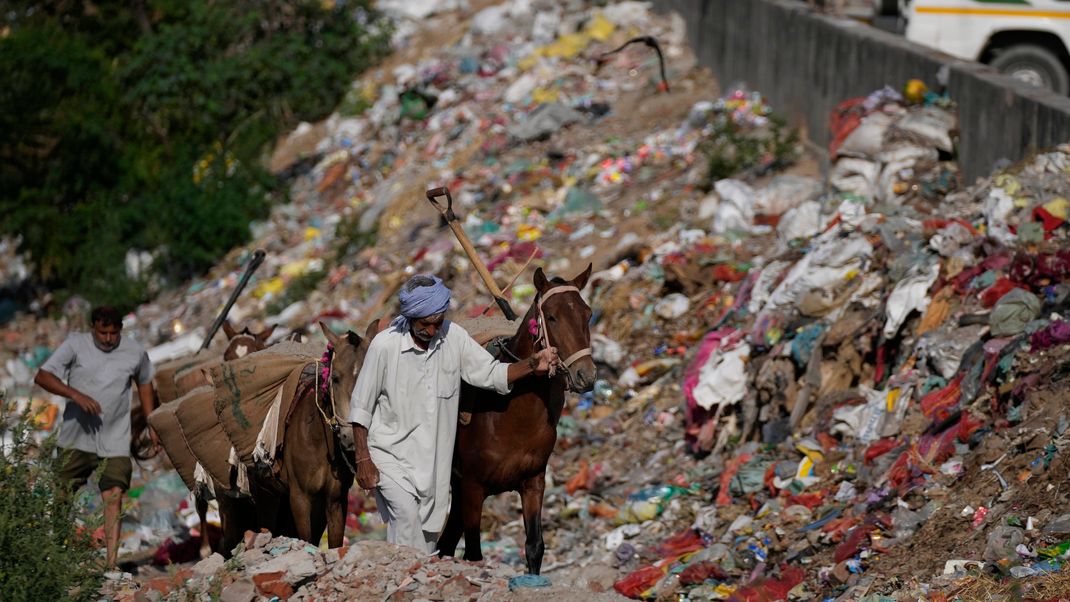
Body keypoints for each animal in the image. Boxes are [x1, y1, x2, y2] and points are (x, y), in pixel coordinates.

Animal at [436, 267, 603, 573]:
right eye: (552, 316)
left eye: (587, 314)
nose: (586, 375)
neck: (510, 416)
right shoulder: (473, 488)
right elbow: (474, 553)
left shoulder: (533, 482)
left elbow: (535, 546)